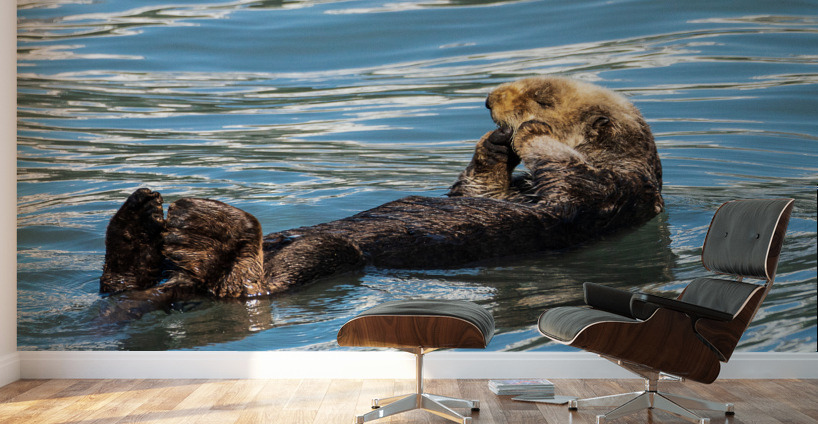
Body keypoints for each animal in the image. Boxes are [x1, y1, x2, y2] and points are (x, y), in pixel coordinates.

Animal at [99, 77, 663, 319]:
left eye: (543, 97)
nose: (489, 101)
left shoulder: (610, 190)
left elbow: (566, 175)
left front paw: (529, 132)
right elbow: (479, 186)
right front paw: (494, 145)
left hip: (321, 257)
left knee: (245, 284)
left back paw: (204, 229)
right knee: (121, 283)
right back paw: (138, 219)